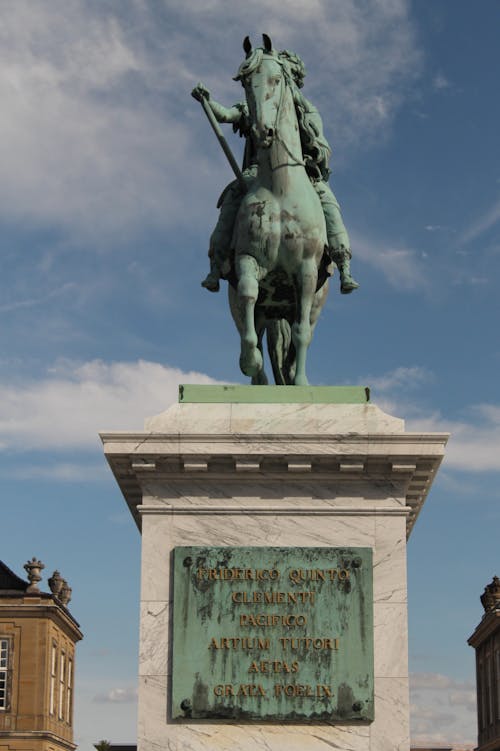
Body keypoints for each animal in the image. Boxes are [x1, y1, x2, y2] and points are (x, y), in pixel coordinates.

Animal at [228, 33, 330, 388]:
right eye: (246, 82)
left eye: (276, 79)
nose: (262, 131)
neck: (280, 188)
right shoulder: (249, 260)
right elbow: (248, 296)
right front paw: (249, 362)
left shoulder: (307, 272)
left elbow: (300, 334)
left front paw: (300, 384)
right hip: (261, 307)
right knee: (253, 328)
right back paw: (257, 379)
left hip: (314, 303)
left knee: (302, 335)